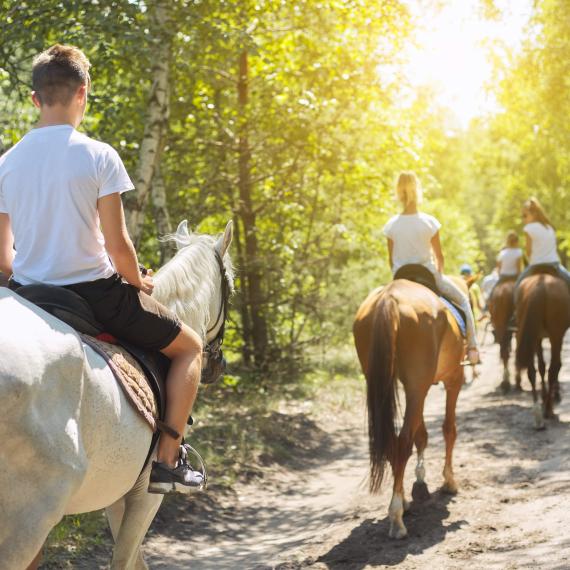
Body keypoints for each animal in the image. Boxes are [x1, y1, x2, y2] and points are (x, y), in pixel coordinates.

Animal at [0, 219, 233, 568]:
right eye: (231, 286)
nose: (218, 365)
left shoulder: (118, 493)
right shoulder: (145, 495)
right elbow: (125, 559)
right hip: (27, 521)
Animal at [352, 276, 464, 536]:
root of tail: (389, 298)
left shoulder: (419, 388)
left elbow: (421, 434)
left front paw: (419, 483)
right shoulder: (453, 380)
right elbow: (448, 429)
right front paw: (449, 481)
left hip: (388, 383)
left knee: (393, 442)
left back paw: (401, 502)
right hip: (417, 386)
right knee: (402, 442)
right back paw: (396, 517)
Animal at [516, 270, 568, 426]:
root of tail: (540, 285)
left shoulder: (538, 336)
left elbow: (541, 367)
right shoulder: (554, 336)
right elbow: (552, 367)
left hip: (532, 334)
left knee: (532, 370)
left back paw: (538, 413)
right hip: (556, 335)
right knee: (553, 369)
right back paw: (548, 410)